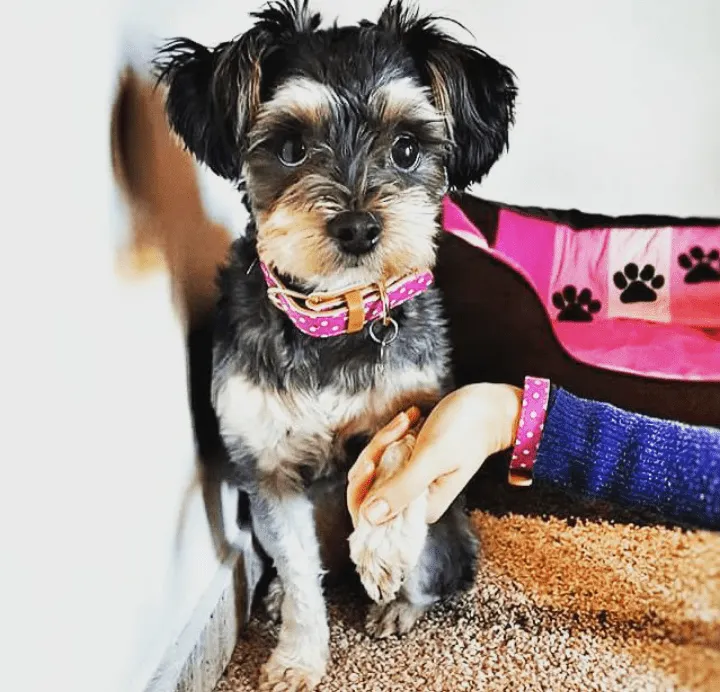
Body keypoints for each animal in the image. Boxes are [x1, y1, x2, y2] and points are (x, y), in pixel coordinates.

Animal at [155, 2, 516, 688]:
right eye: (291, 147)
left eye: (407, 147)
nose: (358, 228)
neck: (333, 319)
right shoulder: (268, 468)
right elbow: (301, 577)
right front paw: (298, 657)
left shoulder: (420, 403)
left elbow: (399, 459)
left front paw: (382, 546)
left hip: (448, 538)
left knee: (435, 575)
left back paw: (397, 602)